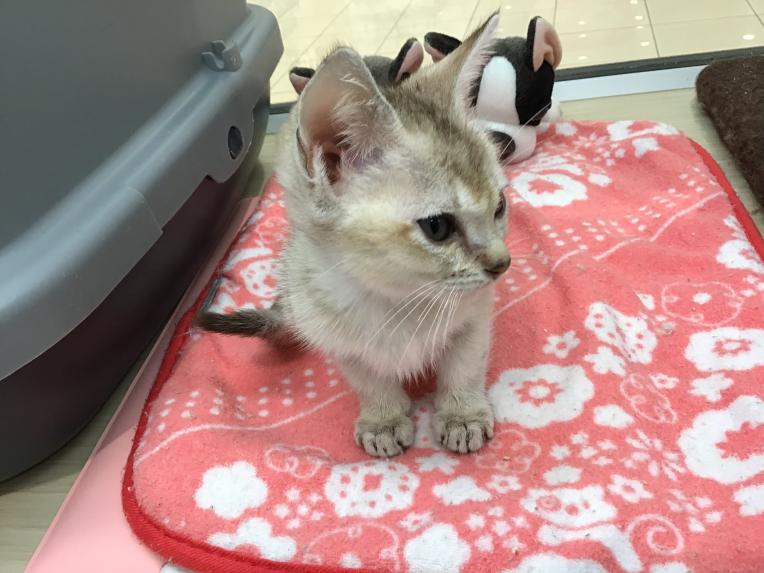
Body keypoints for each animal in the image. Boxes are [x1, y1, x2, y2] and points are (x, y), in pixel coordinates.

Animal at [197, 14, 511, 458]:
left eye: (499, 206)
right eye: (437, 227)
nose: (503, 263)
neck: (397, 301)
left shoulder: (475, 314)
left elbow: (465, 364)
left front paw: (461, 414)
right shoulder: (333, 335)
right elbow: (368, 378)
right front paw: (383, 419)